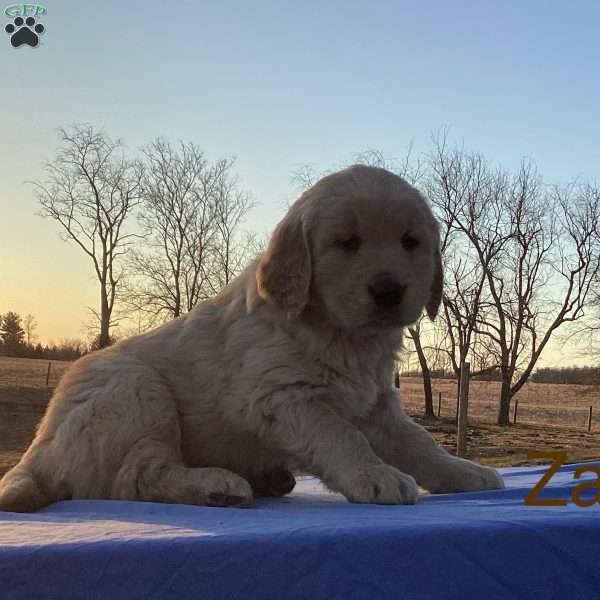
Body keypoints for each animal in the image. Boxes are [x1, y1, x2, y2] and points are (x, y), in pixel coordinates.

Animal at [0, 164, 506, 510]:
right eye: (346, 243)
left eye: (409, 242)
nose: (388, 291)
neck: (342, 337)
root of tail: (33, 455)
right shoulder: (283, 396)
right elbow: (341, 435)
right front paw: (375, 475)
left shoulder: (377, 403)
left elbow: (419, 443)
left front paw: (466, 472)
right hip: (133, 392)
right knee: (136, 476)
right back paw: (217, 485)